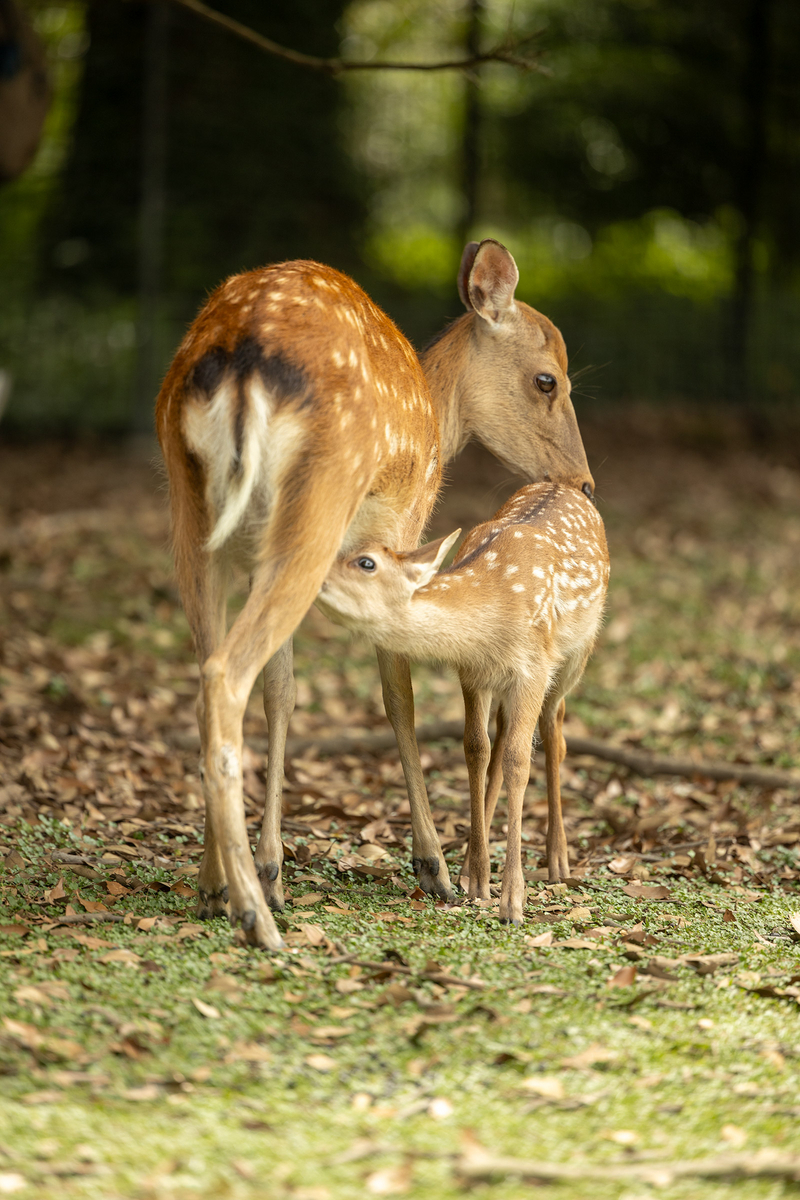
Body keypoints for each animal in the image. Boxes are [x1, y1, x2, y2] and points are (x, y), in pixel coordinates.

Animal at [321, 482, 609, 921]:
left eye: (366, 562)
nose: (311, 577)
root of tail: (565, 485)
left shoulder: (534, 668)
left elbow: (519, 762)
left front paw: (512, 901)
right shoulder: (472, 673)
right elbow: (476, 749)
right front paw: (477, 881)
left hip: (577, 652)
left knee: (554, 730)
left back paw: (558, 861)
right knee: (502, 738)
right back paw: (473, 868)